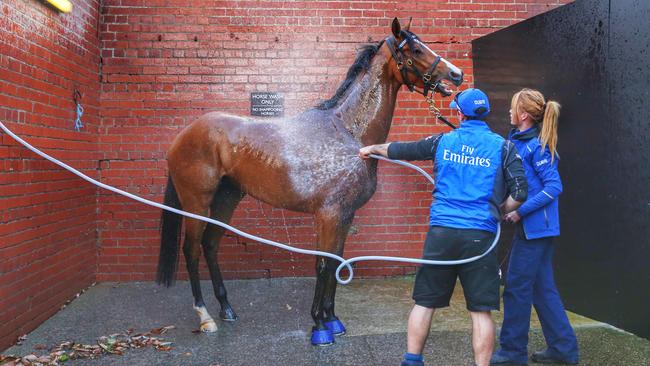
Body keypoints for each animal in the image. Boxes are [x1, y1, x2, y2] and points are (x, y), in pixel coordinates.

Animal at [156, 17, 460, 346]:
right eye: (416, 49)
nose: (456, 74)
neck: (349, 132)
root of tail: (182, 136)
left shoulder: (345, 215)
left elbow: (336, 261)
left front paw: (332, 319)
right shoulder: (328, 215)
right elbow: (323, 264)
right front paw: (319, 326)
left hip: (227, 198)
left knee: (211, 245)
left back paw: (226, 308)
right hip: (196, 203)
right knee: (192, 250)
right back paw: (205, 317)